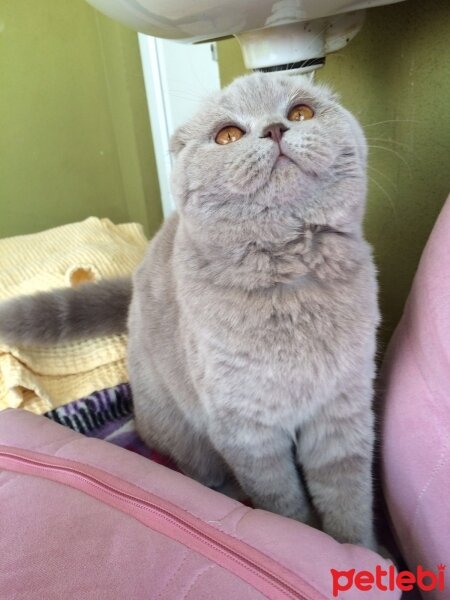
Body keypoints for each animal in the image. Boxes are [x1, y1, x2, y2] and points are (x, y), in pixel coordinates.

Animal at [0, 72, 380, 552]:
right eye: (228, 135)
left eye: (301, 112)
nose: (275, 129)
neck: (290, 280)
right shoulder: (246, 428)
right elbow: (280, 502)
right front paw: (300, 533)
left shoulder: (343, 410)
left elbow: (348, 496)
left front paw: (359, 551)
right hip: (183, 432)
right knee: (205, 472)